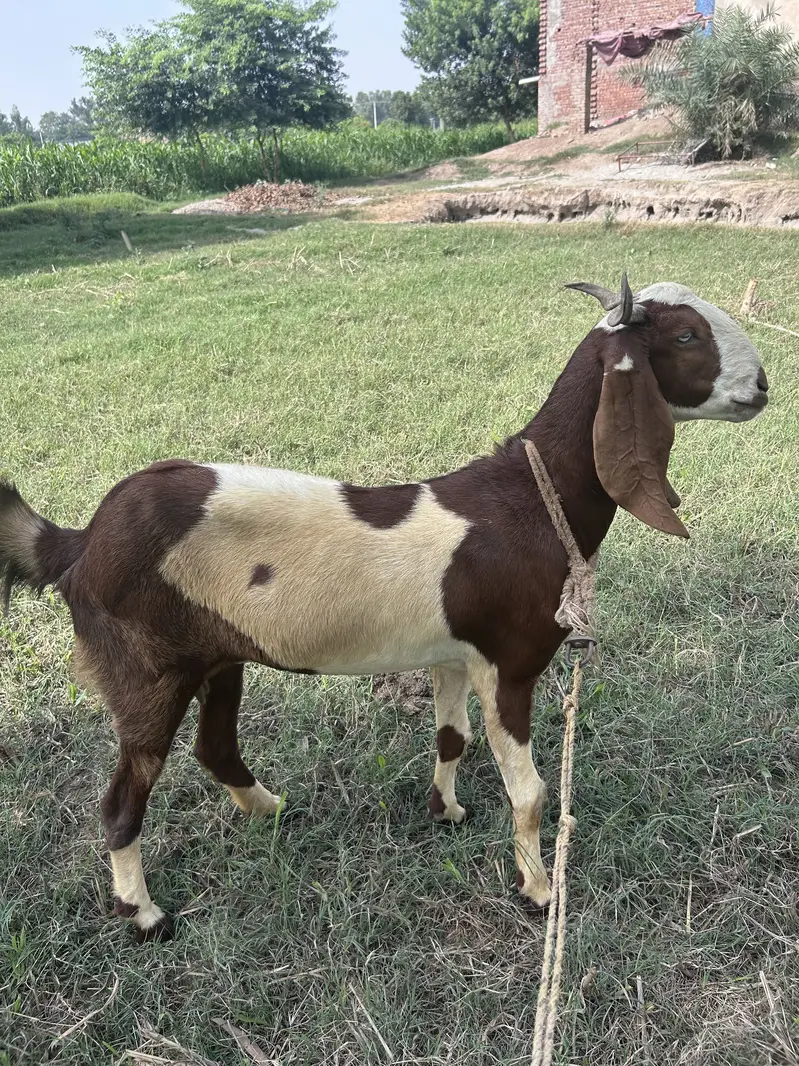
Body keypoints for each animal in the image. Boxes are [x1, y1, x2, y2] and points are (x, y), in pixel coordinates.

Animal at [0, 276, 768, 942]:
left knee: (214, 745)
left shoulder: (453, 654)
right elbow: (530, 792)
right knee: (123, 799)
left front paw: (446, 810)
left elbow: (452, 738)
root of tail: (80, 543)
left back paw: (271, 810)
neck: (528, 497)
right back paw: (145, 913)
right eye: (685, 333)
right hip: (146, 670)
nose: (761, 386)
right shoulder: (510, 662)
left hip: (216, 656)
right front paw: (538, 889)